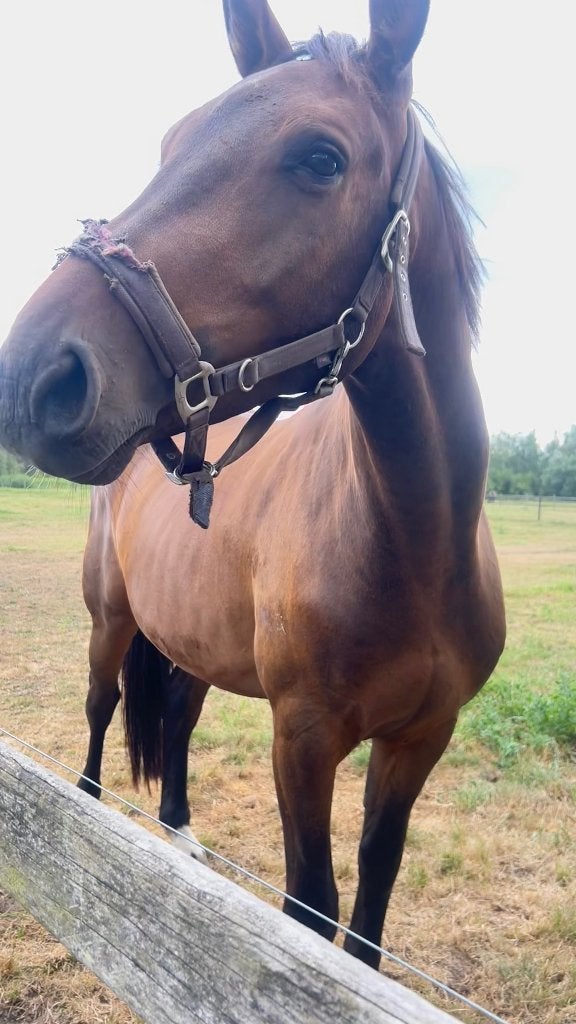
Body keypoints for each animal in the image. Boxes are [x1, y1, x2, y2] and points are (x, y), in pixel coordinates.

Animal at [0, 0, 506, 969]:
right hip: (109, 622)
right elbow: (311, 909)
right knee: (100, 711)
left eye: (321, 159)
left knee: (177, 721)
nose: (31, 375)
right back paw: (89, 814)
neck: (414, 545)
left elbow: (369, 910)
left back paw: (179, 832)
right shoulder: (302, 739)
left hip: (191, 646)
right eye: (171, 142)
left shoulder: (417, 743)